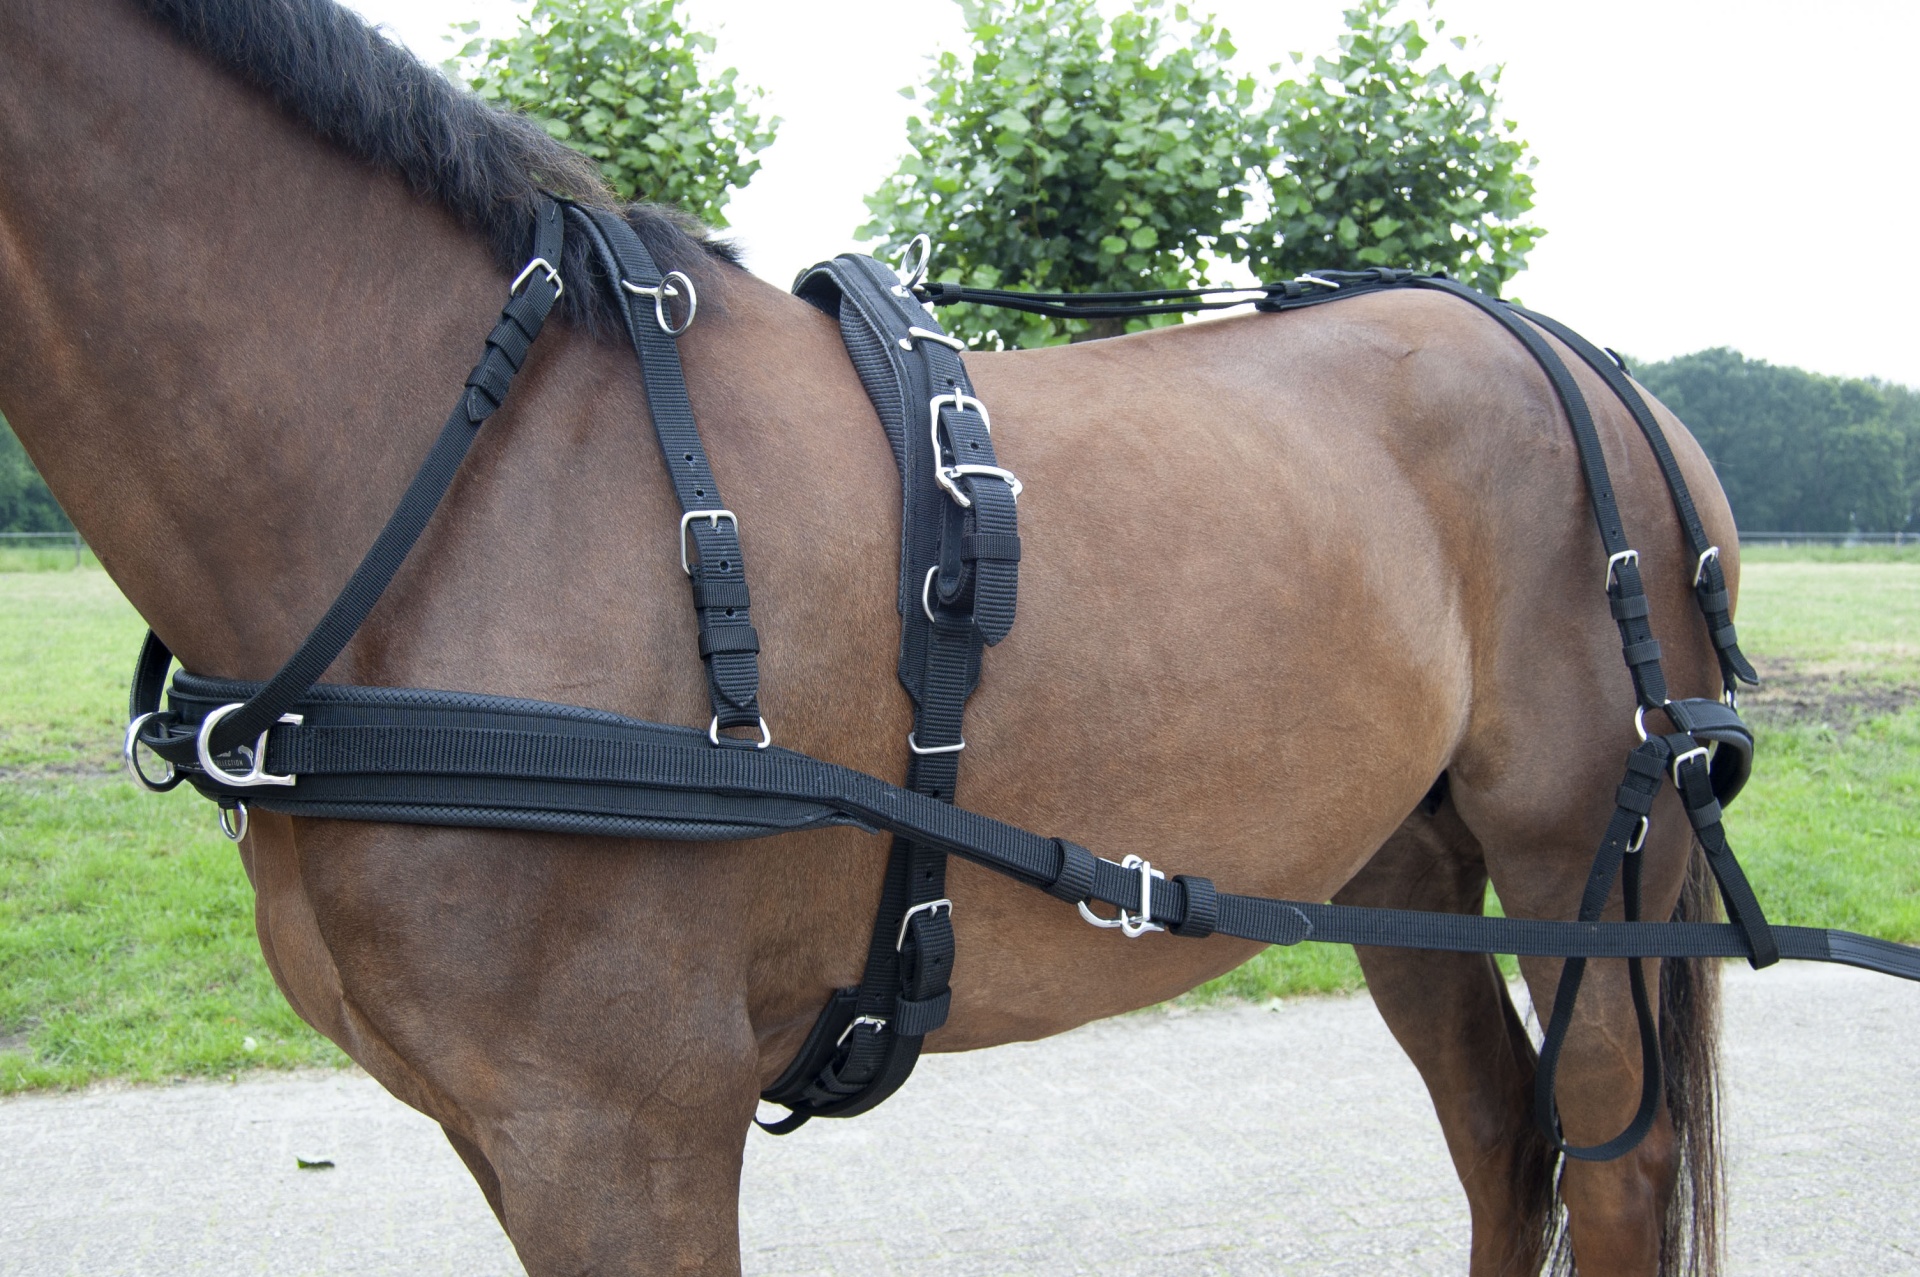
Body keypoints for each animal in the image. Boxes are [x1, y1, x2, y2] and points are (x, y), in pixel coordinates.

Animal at [0, 1, 1741, 1272]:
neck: (472, 488)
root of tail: (1598, 373)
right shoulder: (514, 1131)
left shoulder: (620, 1129)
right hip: (1401, 871)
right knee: (1507, 1146)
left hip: (1591, 865)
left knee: (1617, 1163)